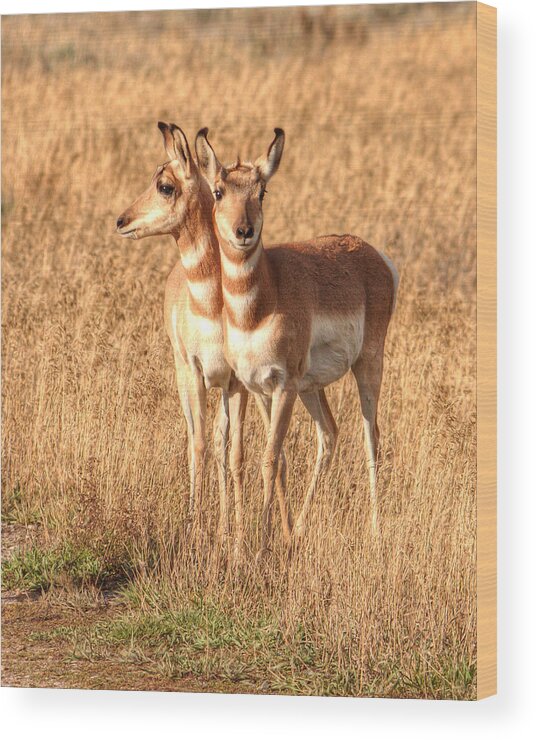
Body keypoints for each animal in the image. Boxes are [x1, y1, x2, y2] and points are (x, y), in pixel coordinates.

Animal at [197, 127, 398, 560]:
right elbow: (245, 458)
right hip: (312, 387)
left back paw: (376, 535)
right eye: (218, 191)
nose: (244, 232)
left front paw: (260, 548)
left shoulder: (283, 386)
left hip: (366, 368)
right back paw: (301, 531)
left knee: (372, 439)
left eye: (262, 191)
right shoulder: (250, 387)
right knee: (330, 434)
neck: (259, 303)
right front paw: (241, 545)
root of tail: (374, 255)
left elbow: (270, 459)